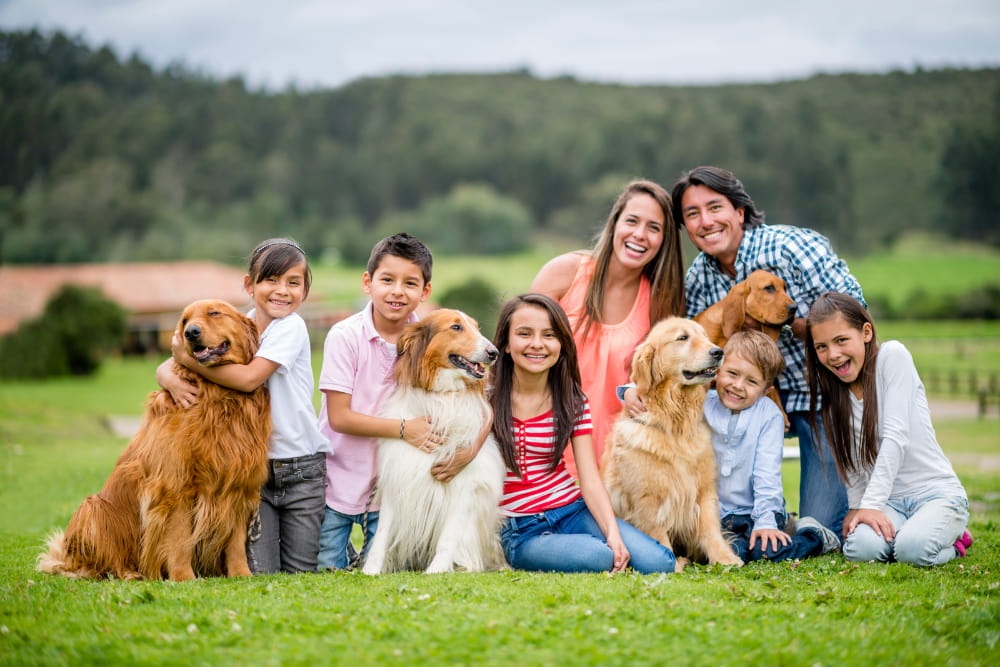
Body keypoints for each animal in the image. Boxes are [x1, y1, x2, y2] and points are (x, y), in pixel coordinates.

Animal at [39, 300, 270, 580]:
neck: (218, 397)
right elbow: (180, 540)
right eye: (184, 321)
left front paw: (240, 574)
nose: (190, 333)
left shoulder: (236, 482)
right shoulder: (174, 484)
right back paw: (126, 573)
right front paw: (184, 578)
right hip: (92, 509)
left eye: (214, 312)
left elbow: (235, 541)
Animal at [362, 308, 508, 576]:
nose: (494, 353)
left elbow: (448, 537)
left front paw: (438, 570)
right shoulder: (399, 475)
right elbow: (382, 534)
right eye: (456, 327)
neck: (442, 397)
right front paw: (371, 569)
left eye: (476, 327)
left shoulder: (465, 484)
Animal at [600, 318, 744, 576]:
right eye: (682, 338)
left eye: (704, 336)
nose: (719, 352)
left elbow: (710, 527)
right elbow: (656, 531)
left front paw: (724, 557)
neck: (674, 423)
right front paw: (671, 561)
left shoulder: (703, 488)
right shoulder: (647, 497)